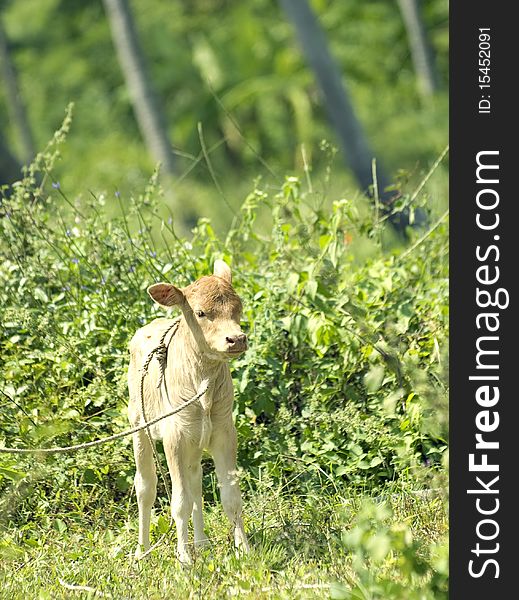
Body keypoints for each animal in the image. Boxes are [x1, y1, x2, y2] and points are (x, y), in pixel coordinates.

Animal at [130, 258, 252, 564]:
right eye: (200, 313)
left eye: (238, 307)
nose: (237, 339)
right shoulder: (174, 438)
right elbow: (179, 502)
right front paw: (184, 557)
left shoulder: (224, 432)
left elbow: (230, 497)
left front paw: (244, 549)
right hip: (139, 425)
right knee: (146, 487)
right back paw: (142, 550)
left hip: (196, 440)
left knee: (195, 482)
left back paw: (203, 543)